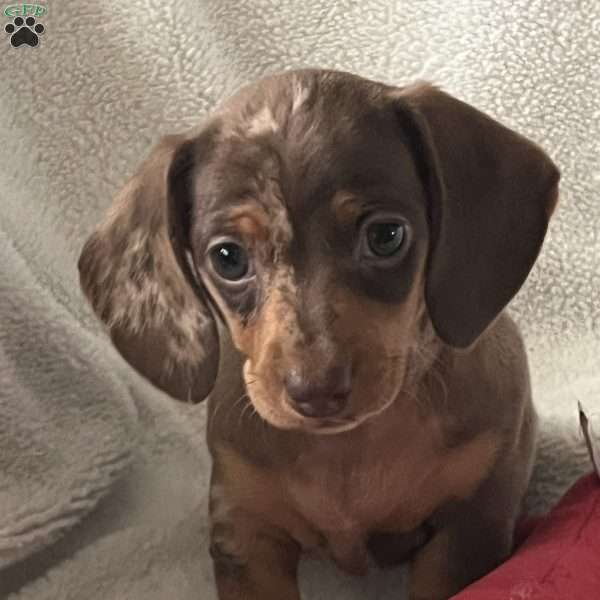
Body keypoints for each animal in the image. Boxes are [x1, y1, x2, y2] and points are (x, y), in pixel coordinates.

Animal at [78, 69, 556, 596]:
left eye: (386, 235)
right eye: (228, 258)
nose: (316, 393)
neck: (349, 450)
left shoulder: (470, 525)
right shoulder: (246, 529)